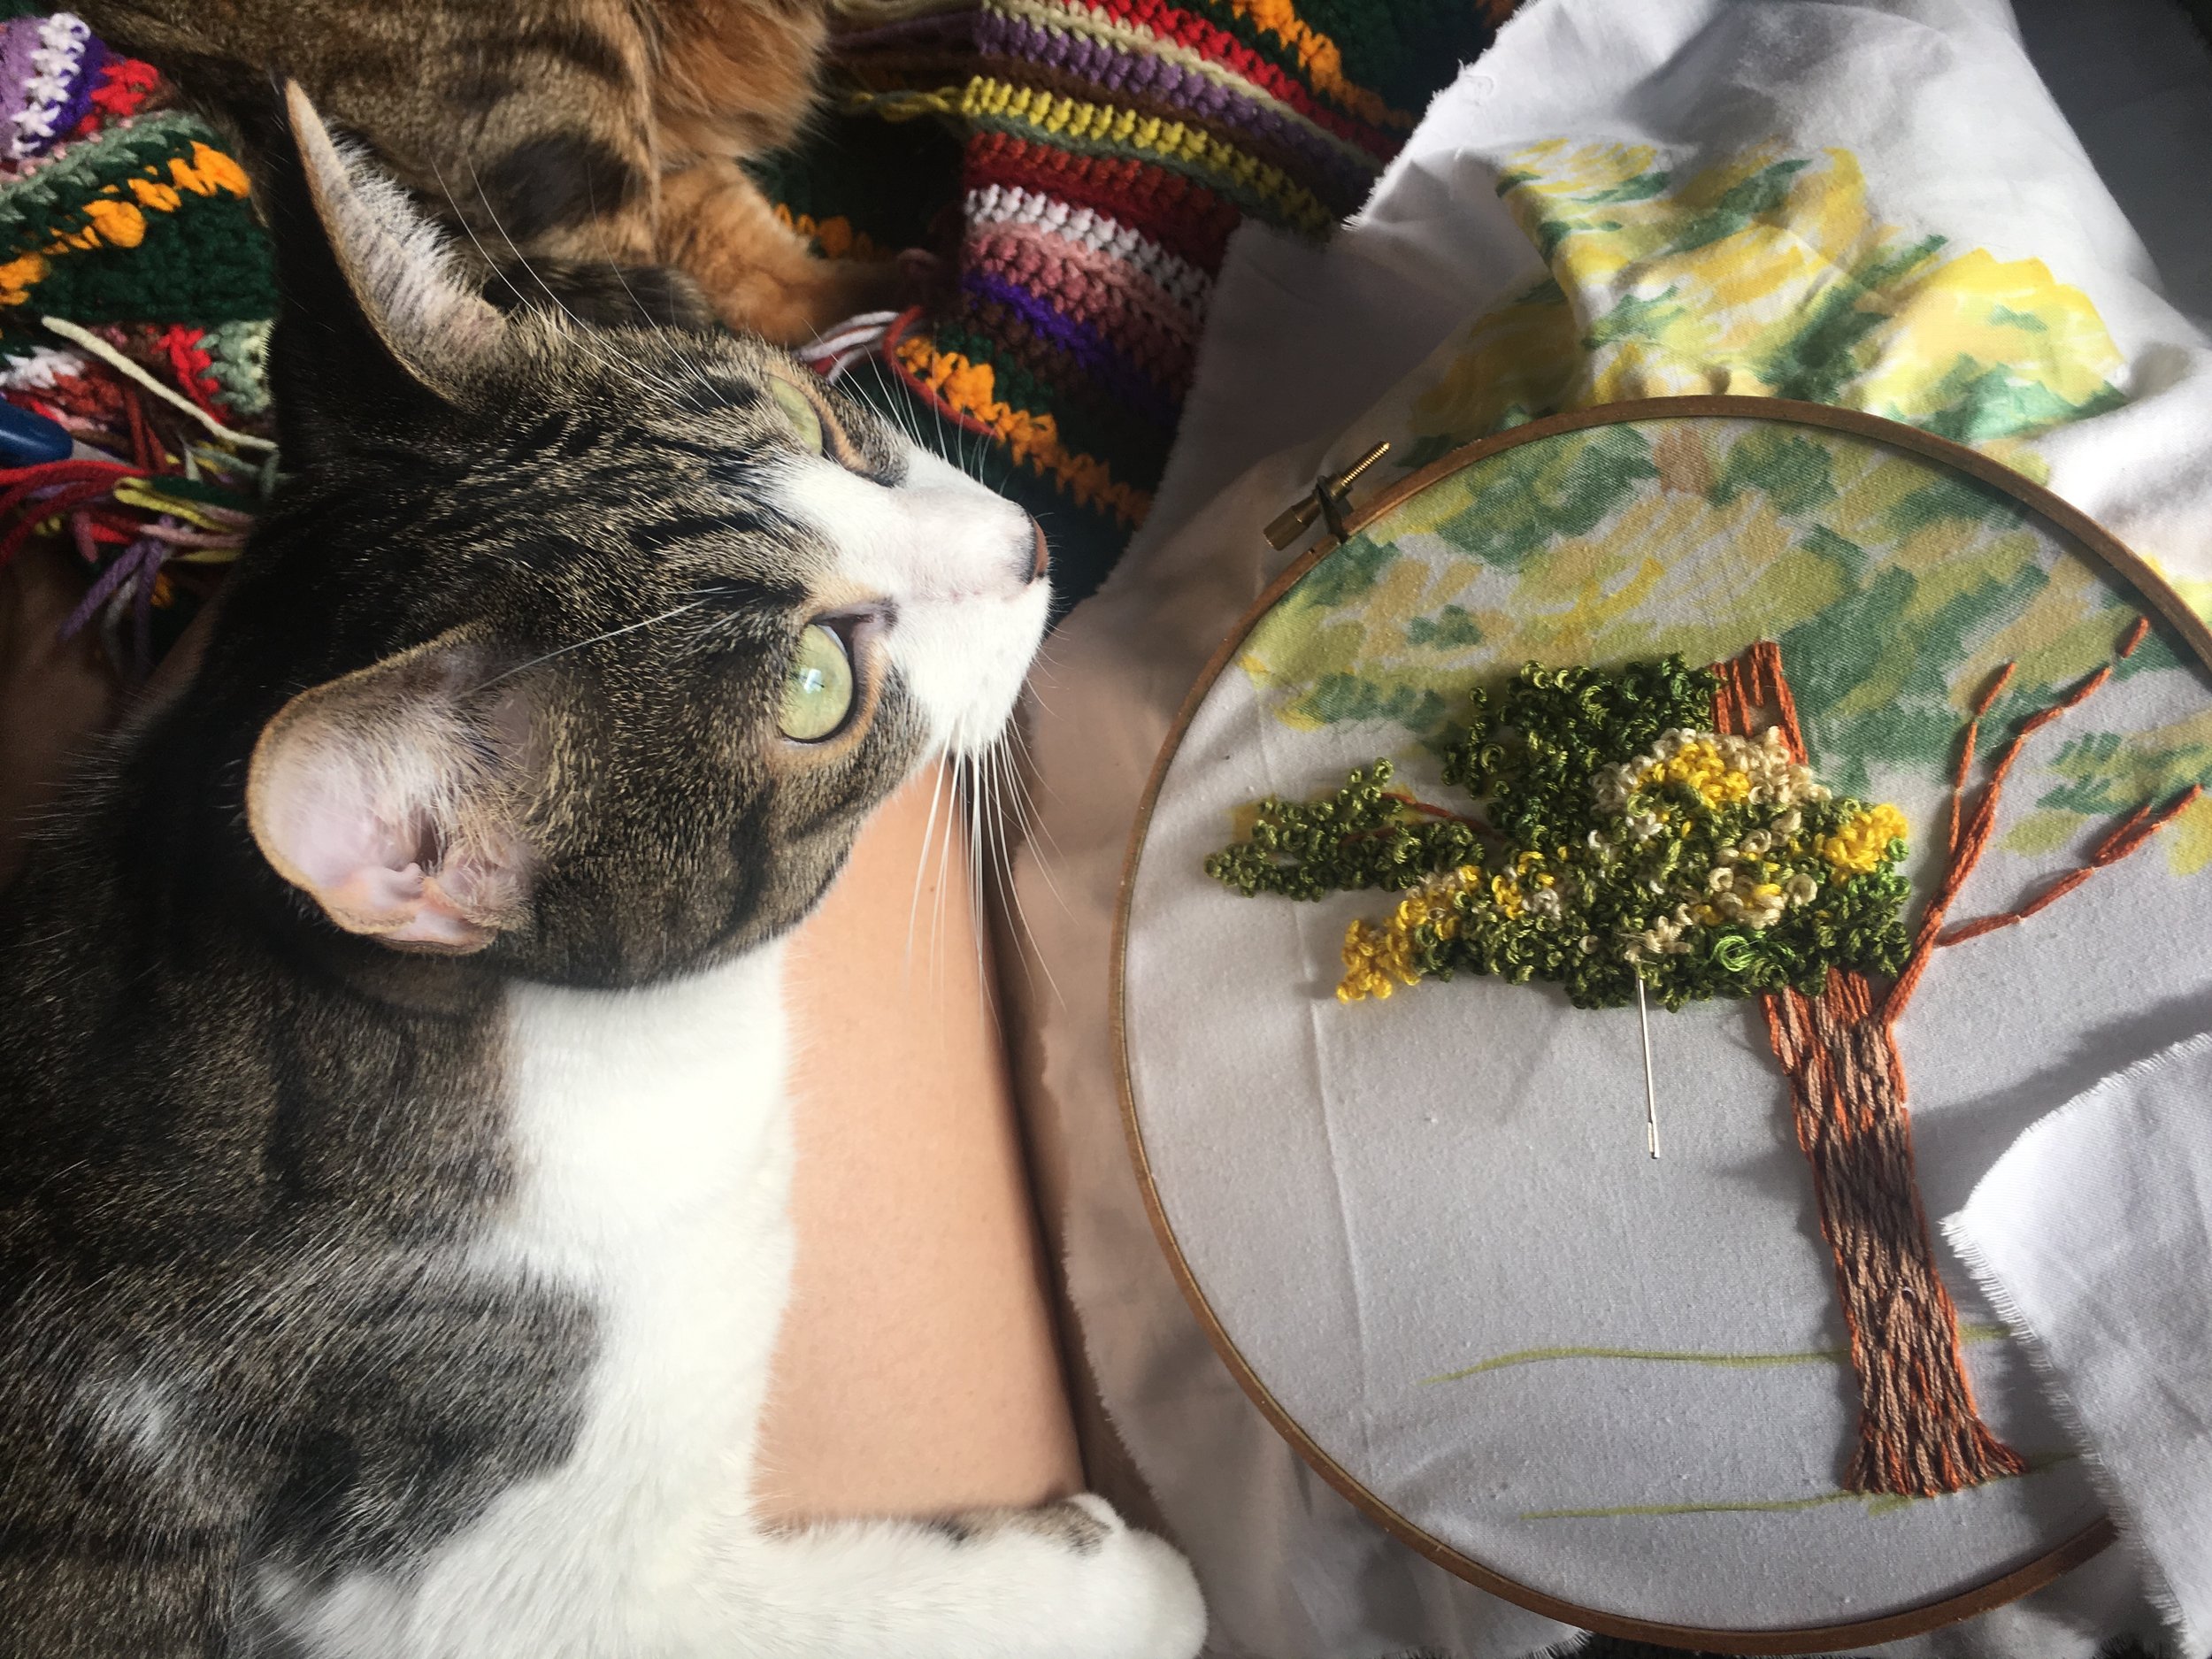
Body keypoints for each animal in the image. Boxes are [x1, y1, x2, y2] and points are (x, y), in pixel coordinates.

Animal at [0, 82, 1206, 1659]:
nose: (1029, 542)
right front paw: (1133, 1578)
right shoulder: (505, 1560)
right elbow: (864, 1608)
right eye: (818, 683)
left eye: (816, 421)